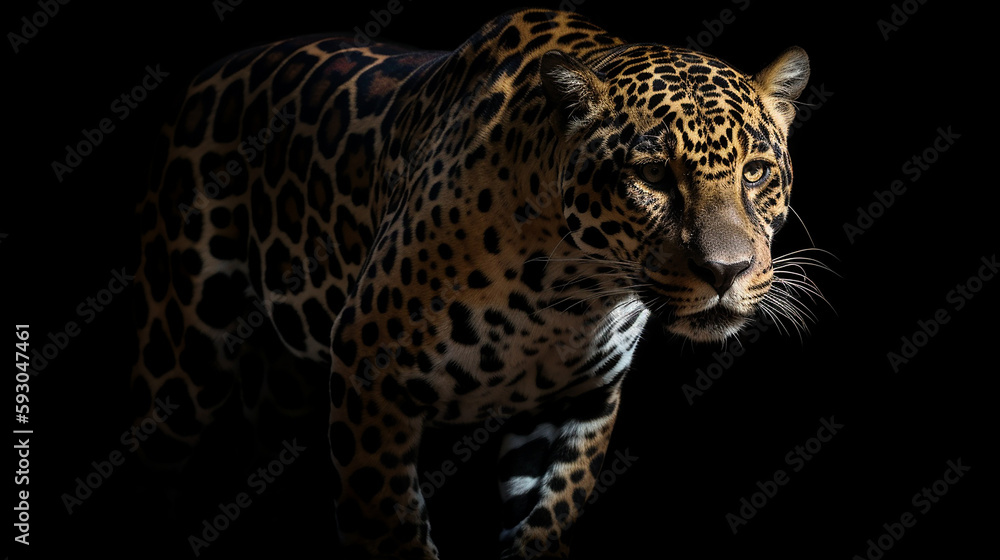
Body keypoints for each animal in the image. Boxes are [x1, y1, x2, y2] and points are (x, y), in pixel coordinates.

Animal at [130, 7, 812, 559]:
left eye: (755, 173)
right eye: (652, 176)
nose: (726, 271)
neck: (570, 292)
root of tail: (210, 74)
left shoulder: (578, 403)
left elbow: (549, 518)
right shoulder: (366, 371)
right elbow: (388, 524)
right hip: (182, 360)